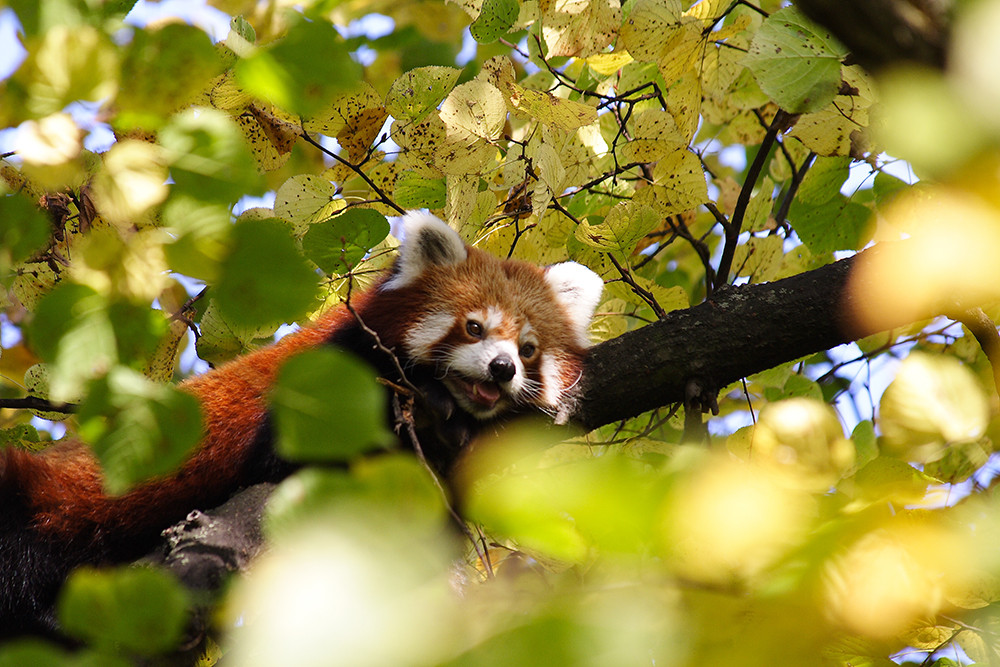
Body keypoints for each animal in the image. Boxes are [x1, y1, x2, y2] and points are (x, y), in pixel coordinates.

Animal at [0, 213, 600, 636]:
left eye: (528, 349)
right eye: (474, 327)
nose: (502, 369)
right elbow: (289, 453)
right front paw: (428, 404)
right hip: (44, 510)